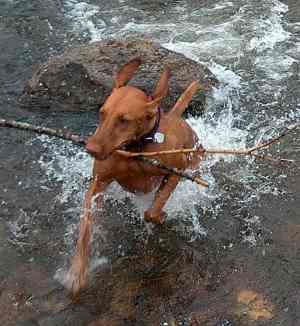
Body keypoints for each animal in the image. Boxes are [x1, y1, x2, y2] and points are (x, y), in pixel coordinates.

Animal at [66, 58, 204, 296]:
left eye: (124, 120)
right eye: (102, 112)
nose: (90, 149)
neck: (136, 149)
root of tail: (176, 116)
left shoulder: (175, 174)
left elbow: (153, 208)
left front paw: (160, 215)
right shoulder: (98, 183)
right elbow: (85, 228)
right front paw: (77, 272)